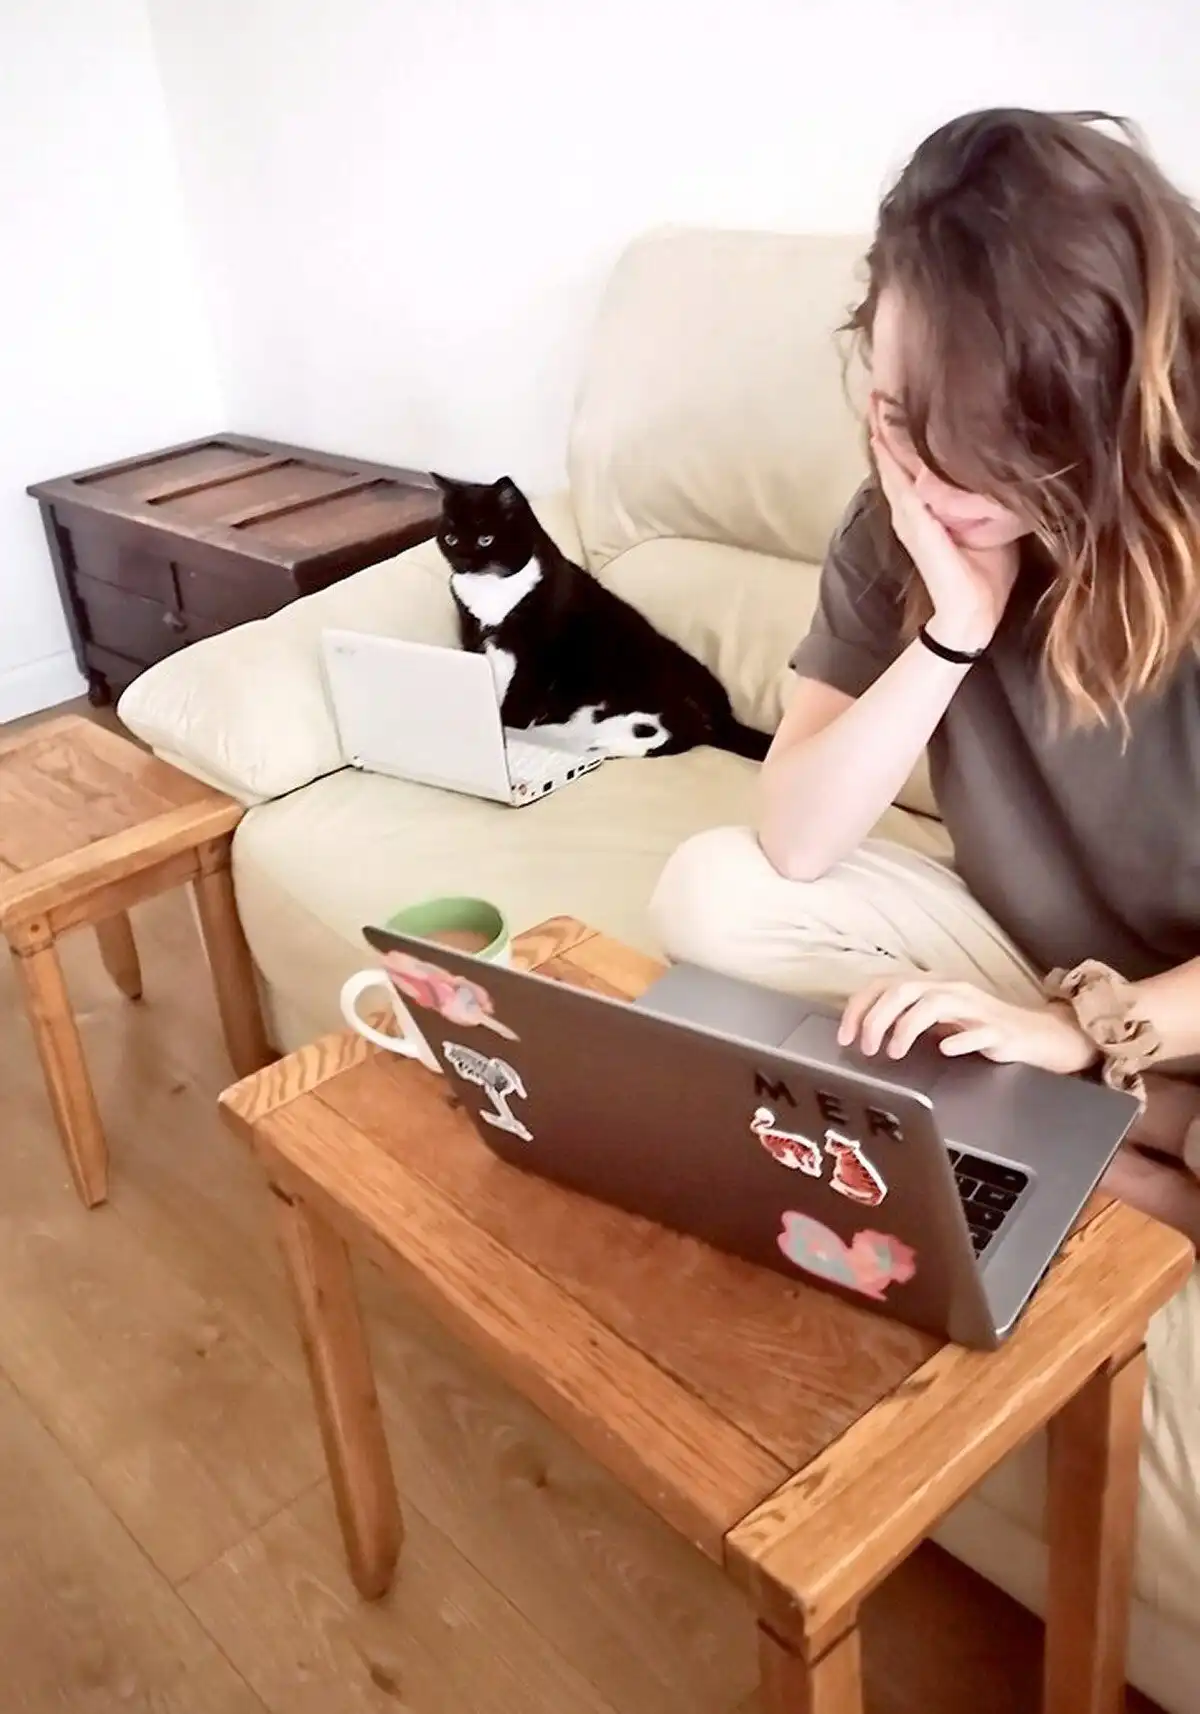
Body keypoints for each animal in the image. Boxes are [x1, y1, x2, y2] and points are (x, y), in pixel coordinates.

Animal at [431, 473, 770, 761]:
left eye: (485, 539)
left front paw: (507, 726)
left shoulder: (537, 651)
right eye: (450, 539)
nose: (462, 561)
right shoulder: (473, 636)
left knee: (671, 737)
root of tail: (723, 716)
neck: (492, 590)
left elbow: (519, 693)